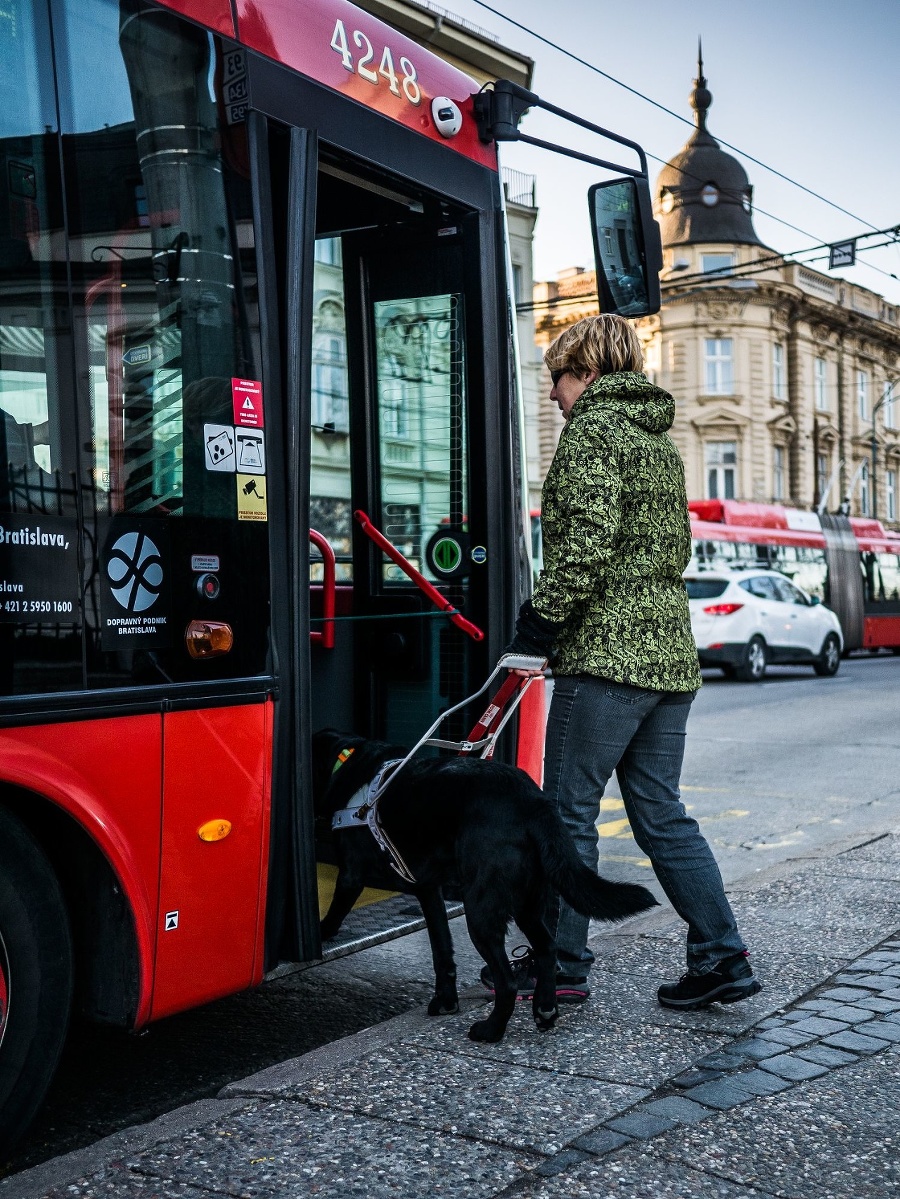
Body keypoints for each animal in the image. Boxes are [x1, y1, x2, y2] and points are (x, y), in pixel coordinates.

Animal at [313, 724, 656, 1045]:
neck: (350, 759)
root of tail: (533, 801)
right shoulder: (429, 891)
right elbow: (442, 950)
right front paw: (446, 1001)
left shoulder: (351, 875)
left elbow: (336, 912)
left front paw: (321, 932)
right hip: (528, 902)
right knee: (547, 948)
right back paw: (545, 1008)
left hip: (481, 908)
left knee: (507, 981)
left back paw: (491, 1030)